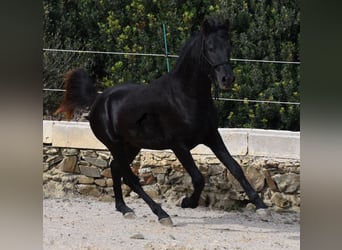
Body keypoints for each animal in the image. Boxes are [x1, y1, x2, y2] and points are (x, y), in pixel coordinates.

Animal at [55, 17, 268, 225]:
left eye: (229, 45)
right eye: (210, 47)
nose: (227, 79)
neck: (186, 96)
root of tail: (99, 99)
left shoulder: (212, 137)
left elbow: (236, 168)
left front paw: (261, 206)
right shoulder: (179, 145)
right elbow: (198, 178)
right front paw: (187, 202)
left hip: (132, 145)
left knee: (116, 168)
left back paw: (124, 209)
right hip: (114, 144)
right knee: (130, 178)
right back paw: (161, 214)